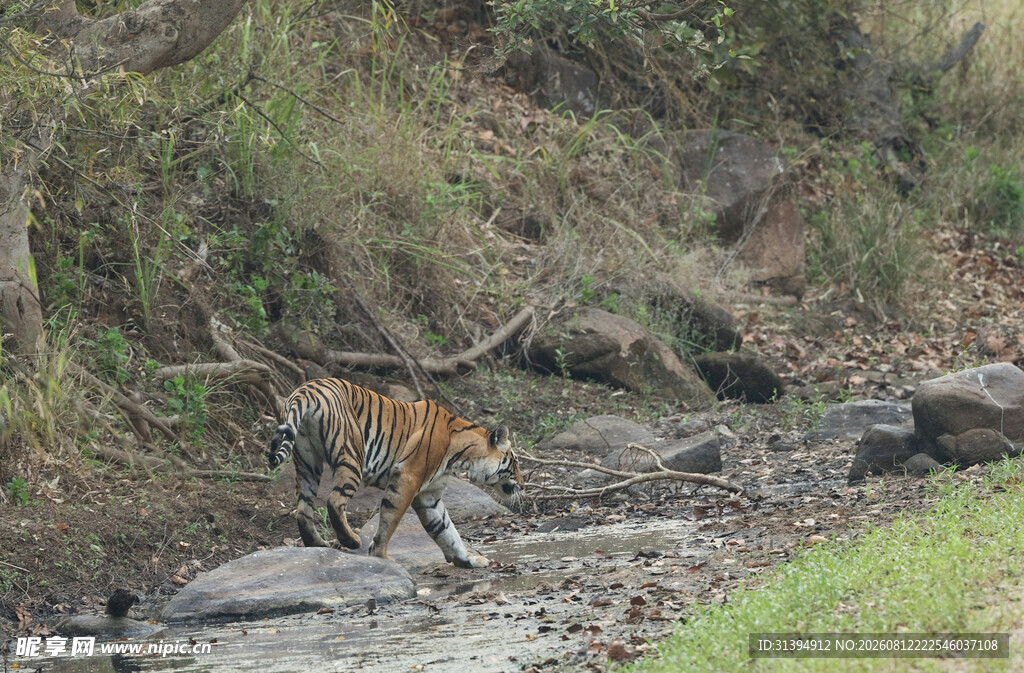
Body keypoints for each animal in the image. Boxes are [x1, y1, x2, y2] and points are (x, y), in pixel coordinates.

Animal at [268, 378, 524, 568]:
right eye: (516, 462)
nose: (522, 483)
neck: (461, 455)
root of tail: (305, 390)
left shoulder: (429, 496)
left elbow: (446, 530)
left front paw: (468, 559)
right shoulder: (408, 478)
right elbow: (390, 520)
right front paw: (380, 555)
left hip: (308, 463)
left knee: (303, 509)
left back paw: (318, 544)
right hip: (351, 455)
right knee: (334, 501)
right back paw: (351, 540)